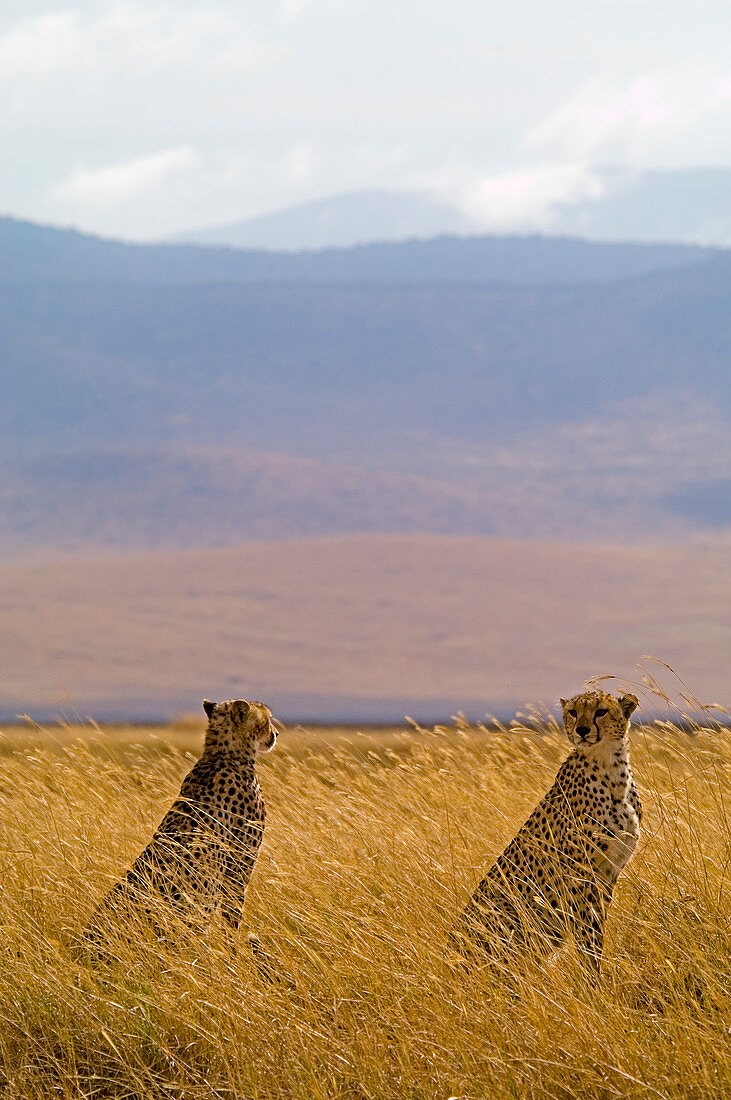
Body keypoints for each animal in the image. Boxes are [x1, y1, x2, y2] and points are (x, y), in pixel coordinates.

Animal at [81, 699, 277, 950]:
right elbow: (233, 914)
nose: (276, 733)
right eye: (267, 720)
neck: (223, 753)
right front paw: (234, 951)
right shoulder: (239, 863)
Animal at [450, 690, 637, 976]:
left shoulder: (609, 871)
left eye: (601, 711)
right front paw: (592, 978)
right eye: (573, 712)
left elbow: (596, 929)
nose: (582, 730)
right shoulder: (580, 875)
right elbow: (588, 935)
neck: (609, 767)